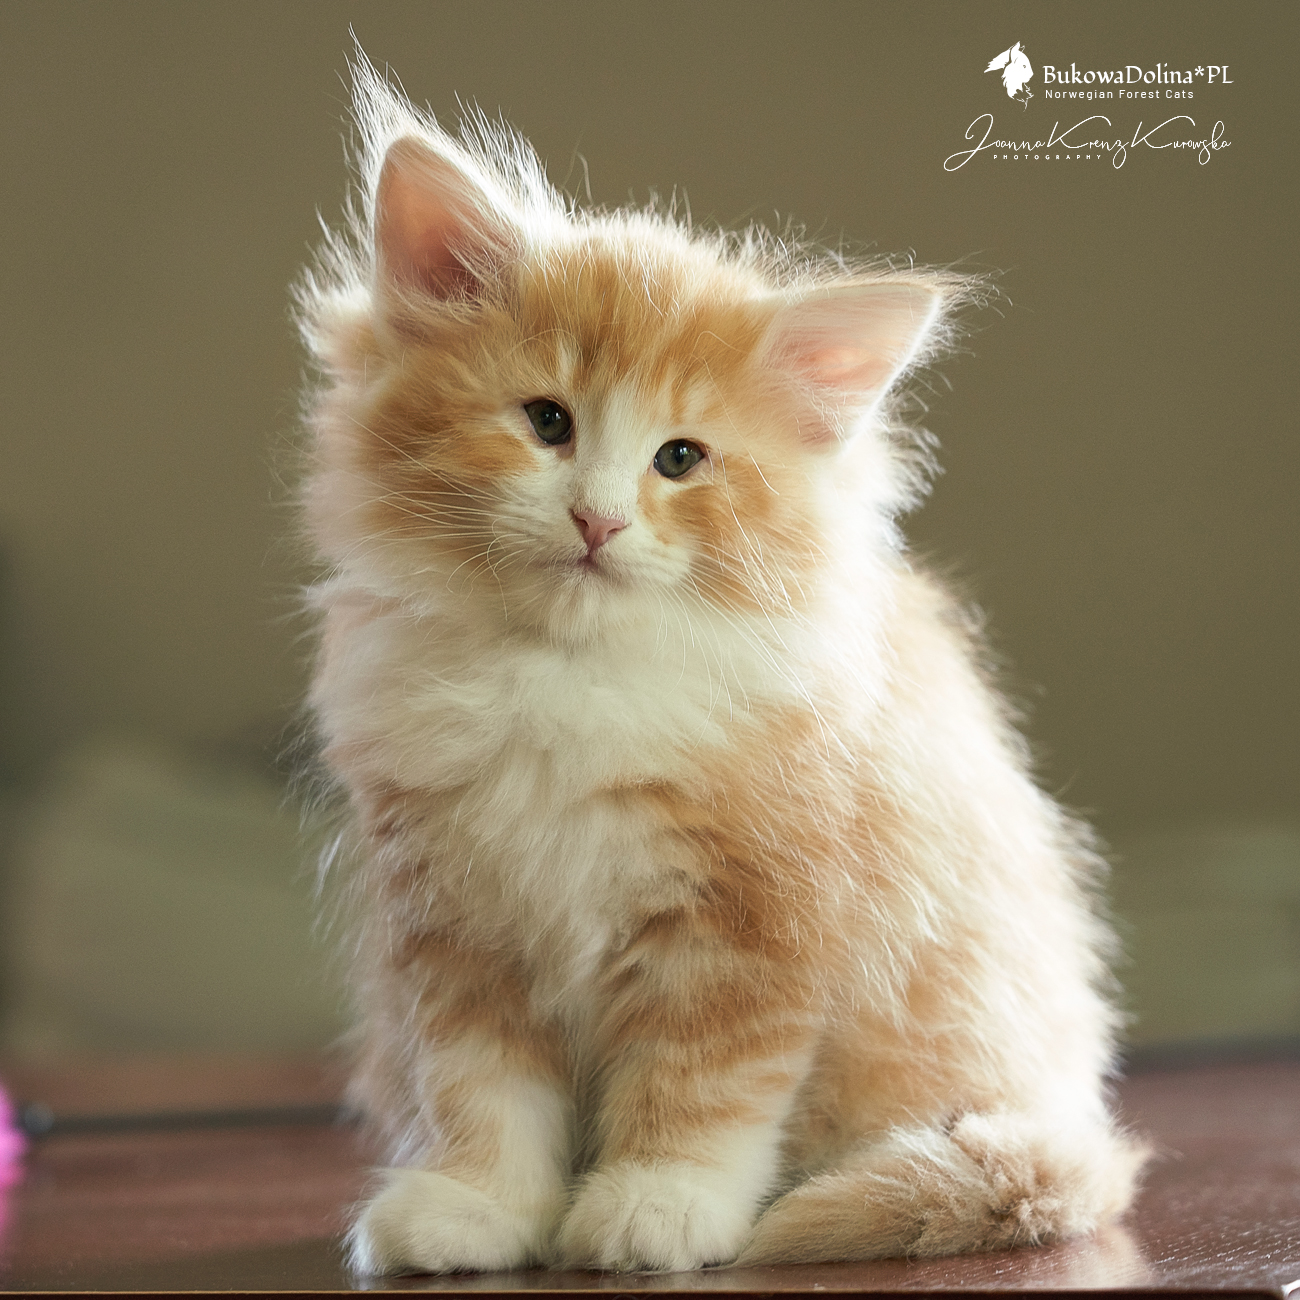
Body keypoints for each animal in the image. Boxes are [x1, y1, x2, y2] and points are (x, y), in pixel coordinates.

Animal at [296, 58, 1145, 1276]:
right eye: (545, 421)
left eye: (681, 458)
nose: (597, 520)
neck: (567, 679)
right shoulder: (454, 929)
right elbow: (480, 1091)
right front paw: (476, 1207)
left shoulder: (748, 924)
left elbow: (702, 1087)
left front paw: (656, 1206)